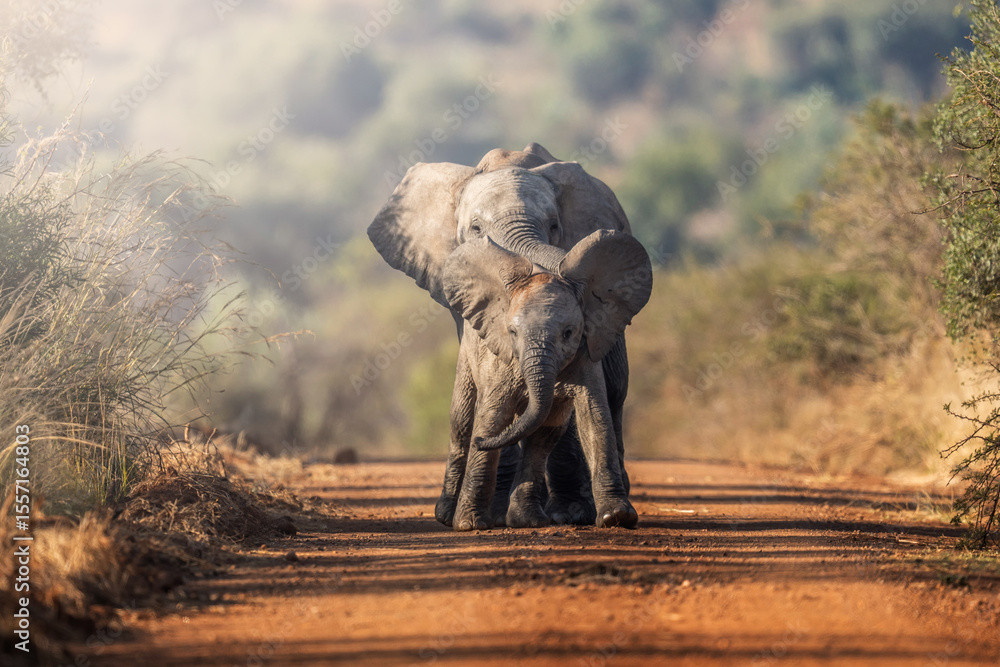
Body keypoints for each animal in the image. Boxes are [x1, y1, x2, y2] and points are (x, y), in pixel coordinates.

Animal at [439, 231, 652, 530]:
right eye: (512, 332)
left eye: (568, 332)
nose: (480, 441)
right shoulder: (501, 358)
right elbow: (493, 416)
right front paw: (470, 525)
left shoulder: (585, 351)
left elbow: (594, 417)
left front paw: (617, 517)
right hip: (467, 358)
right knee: (461, 422)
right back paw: (448, 516)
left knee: (544, 434)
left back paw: (526, 521)